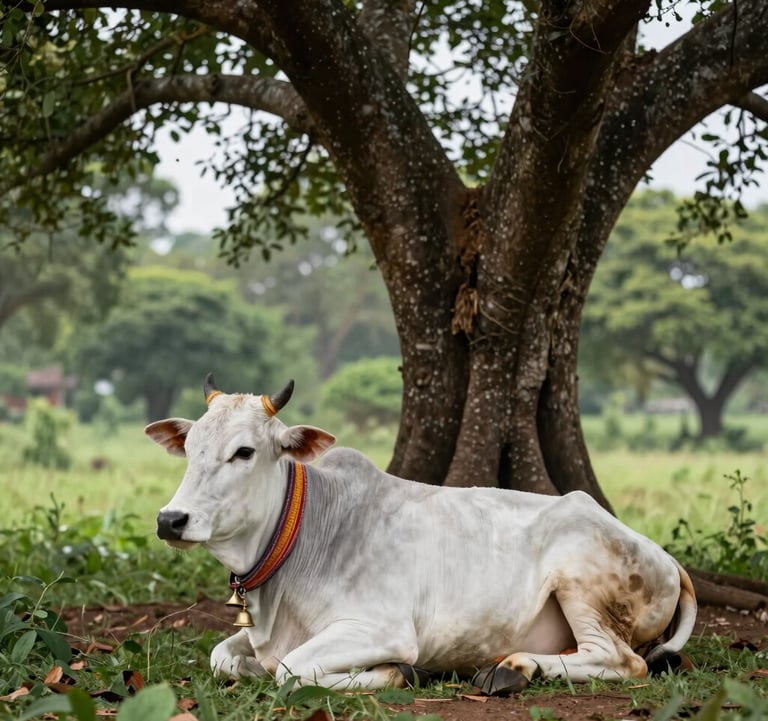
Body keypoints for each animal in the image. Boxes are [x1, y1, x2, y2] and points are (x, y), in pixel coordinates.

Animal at [147, 375, 697, 695]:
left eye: (244, 451)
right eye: (190, 447)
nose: (170, 519)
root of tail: (669, 560)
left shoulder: (381, 628)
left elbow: (291, 670)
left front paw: (399, 673)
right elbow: (221, 657)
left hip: (581, 580)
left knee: (623, 661)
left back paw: (512, 668)